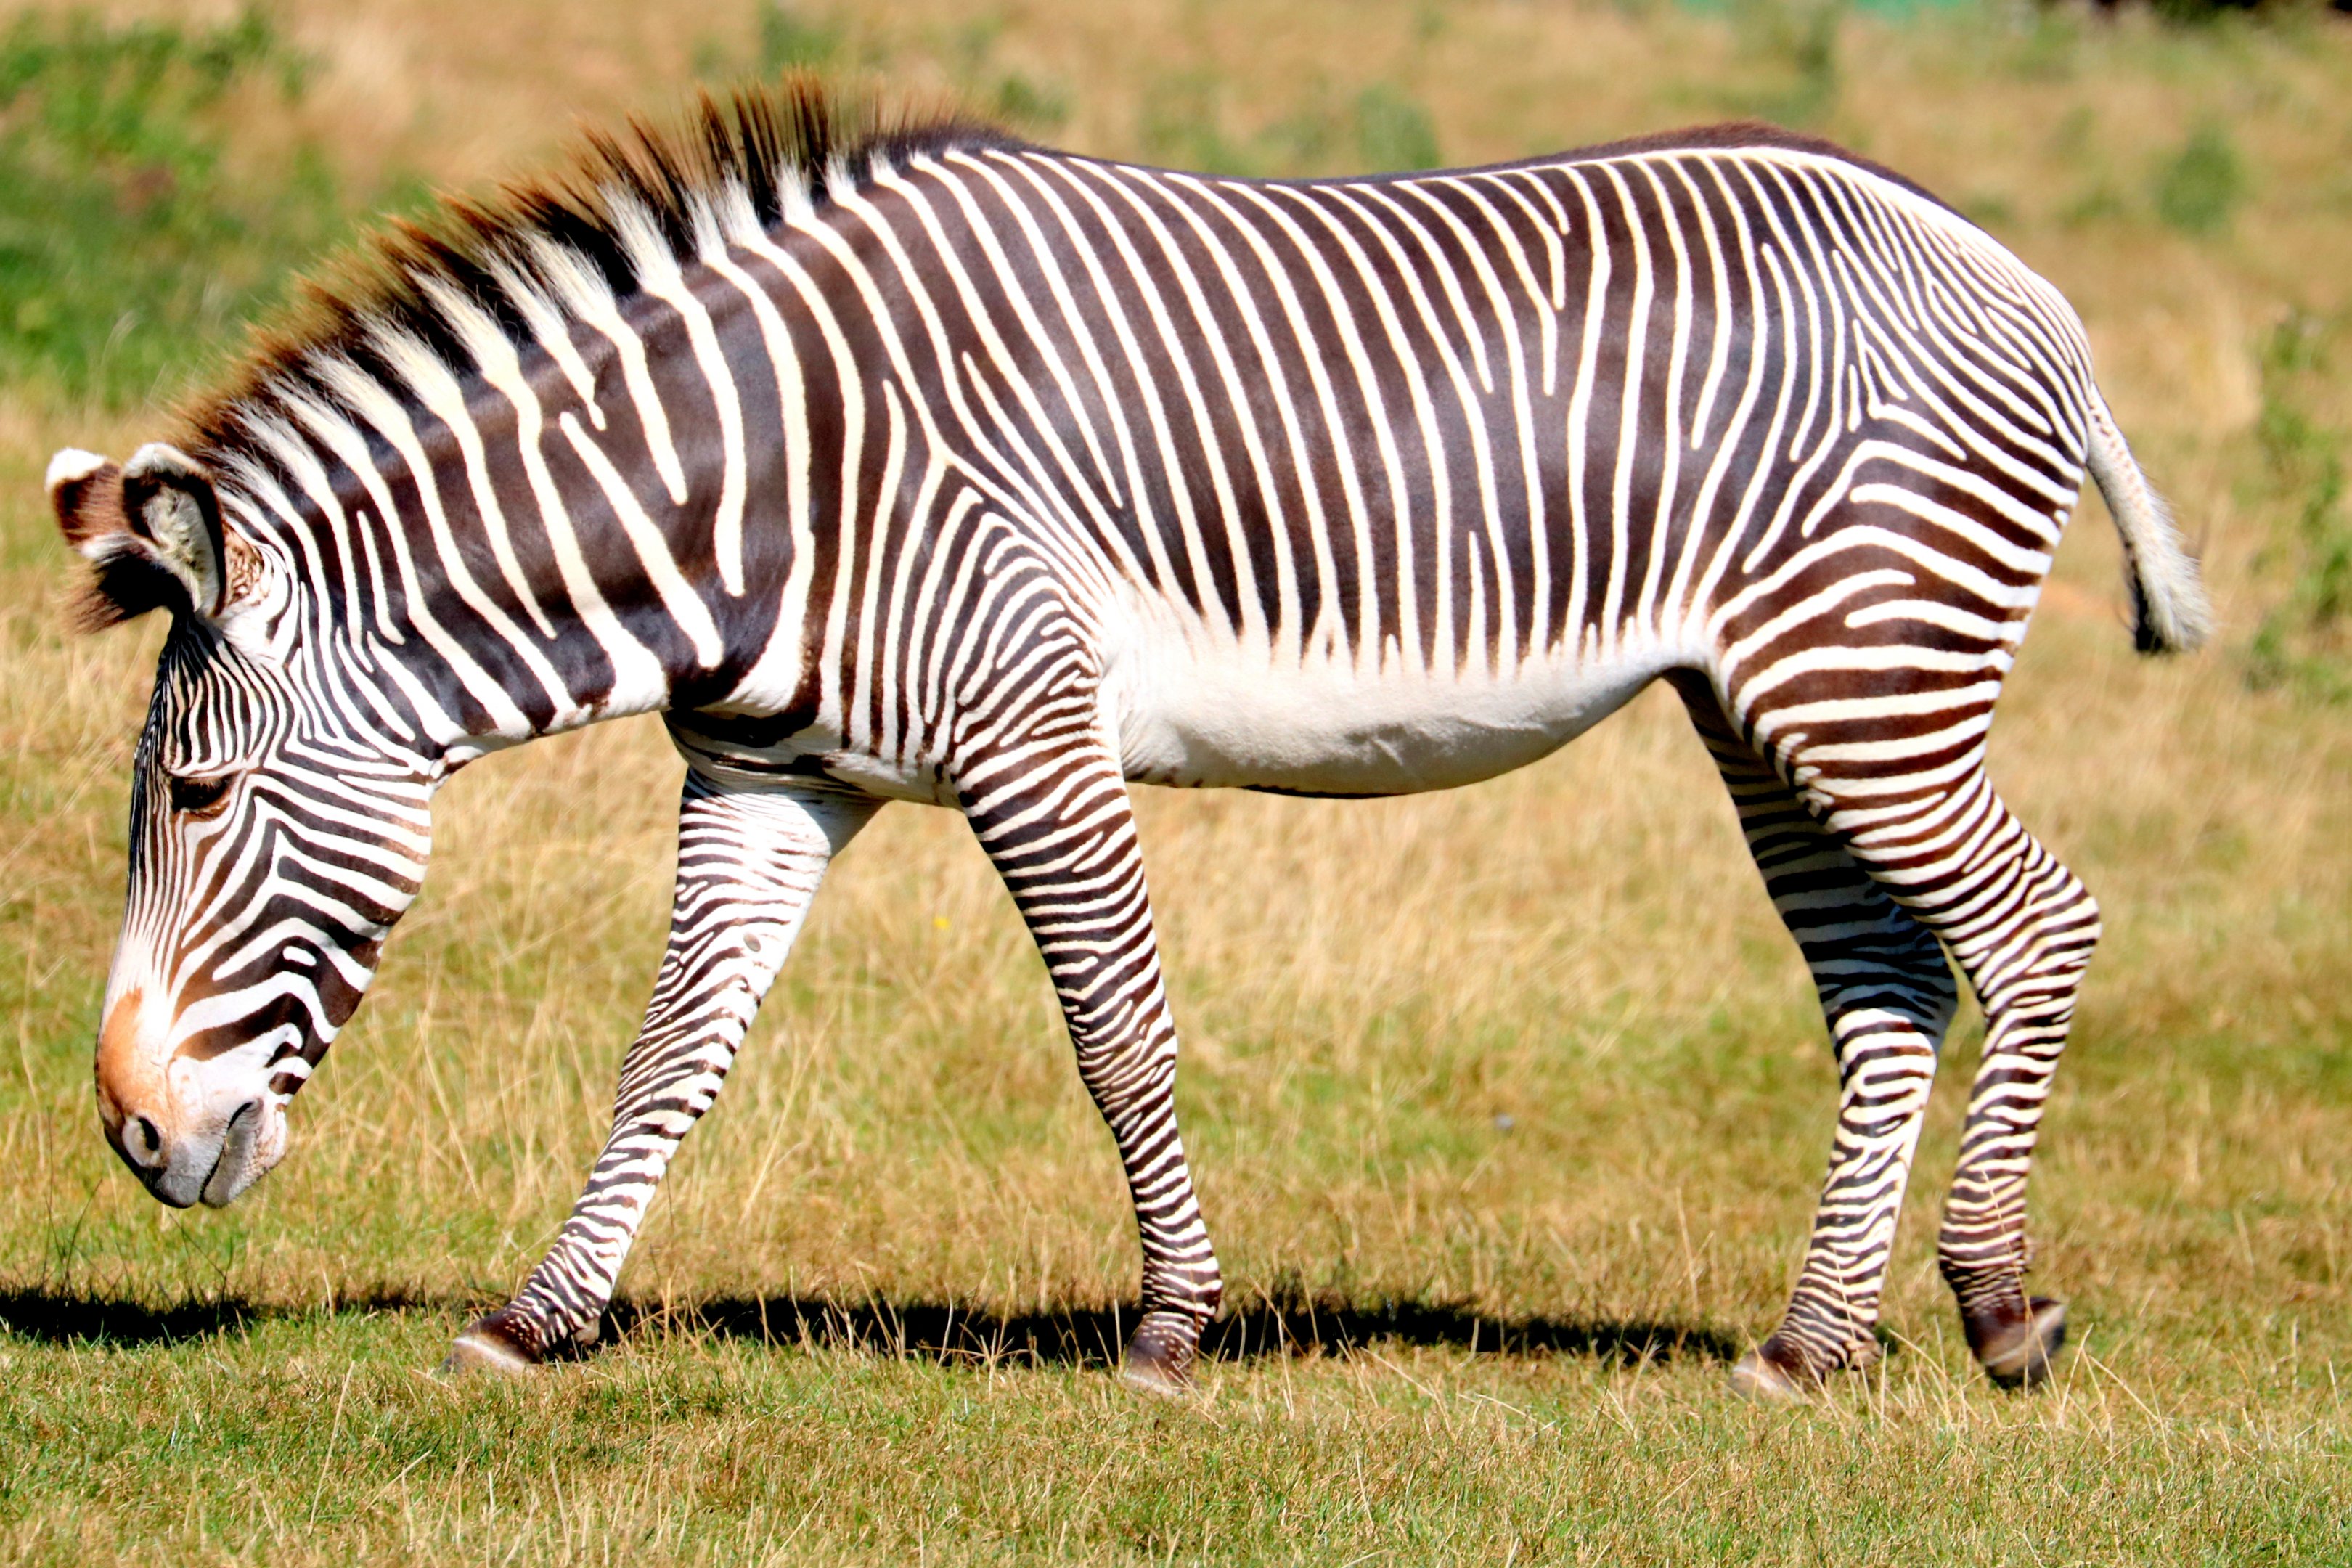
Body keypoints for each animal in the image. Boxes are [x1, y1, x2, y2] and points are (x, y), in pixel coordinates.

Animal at [50, 84, 2207, 1401]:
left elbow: (1114, 1029)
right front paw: (541, 1316)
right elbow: (673, 1047)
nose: (132, 1136)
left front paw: (1172, 1326)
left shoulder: (1030, 736)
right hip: (1771, 700)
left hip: (1866, 675)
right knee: (1886, 984)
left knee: (2037, 929)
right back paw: (1812, 1339)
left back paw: (2000, 1306)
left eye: (196, 795)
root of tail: (2008, 267)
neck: (759, 485)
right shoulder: (766, 769)